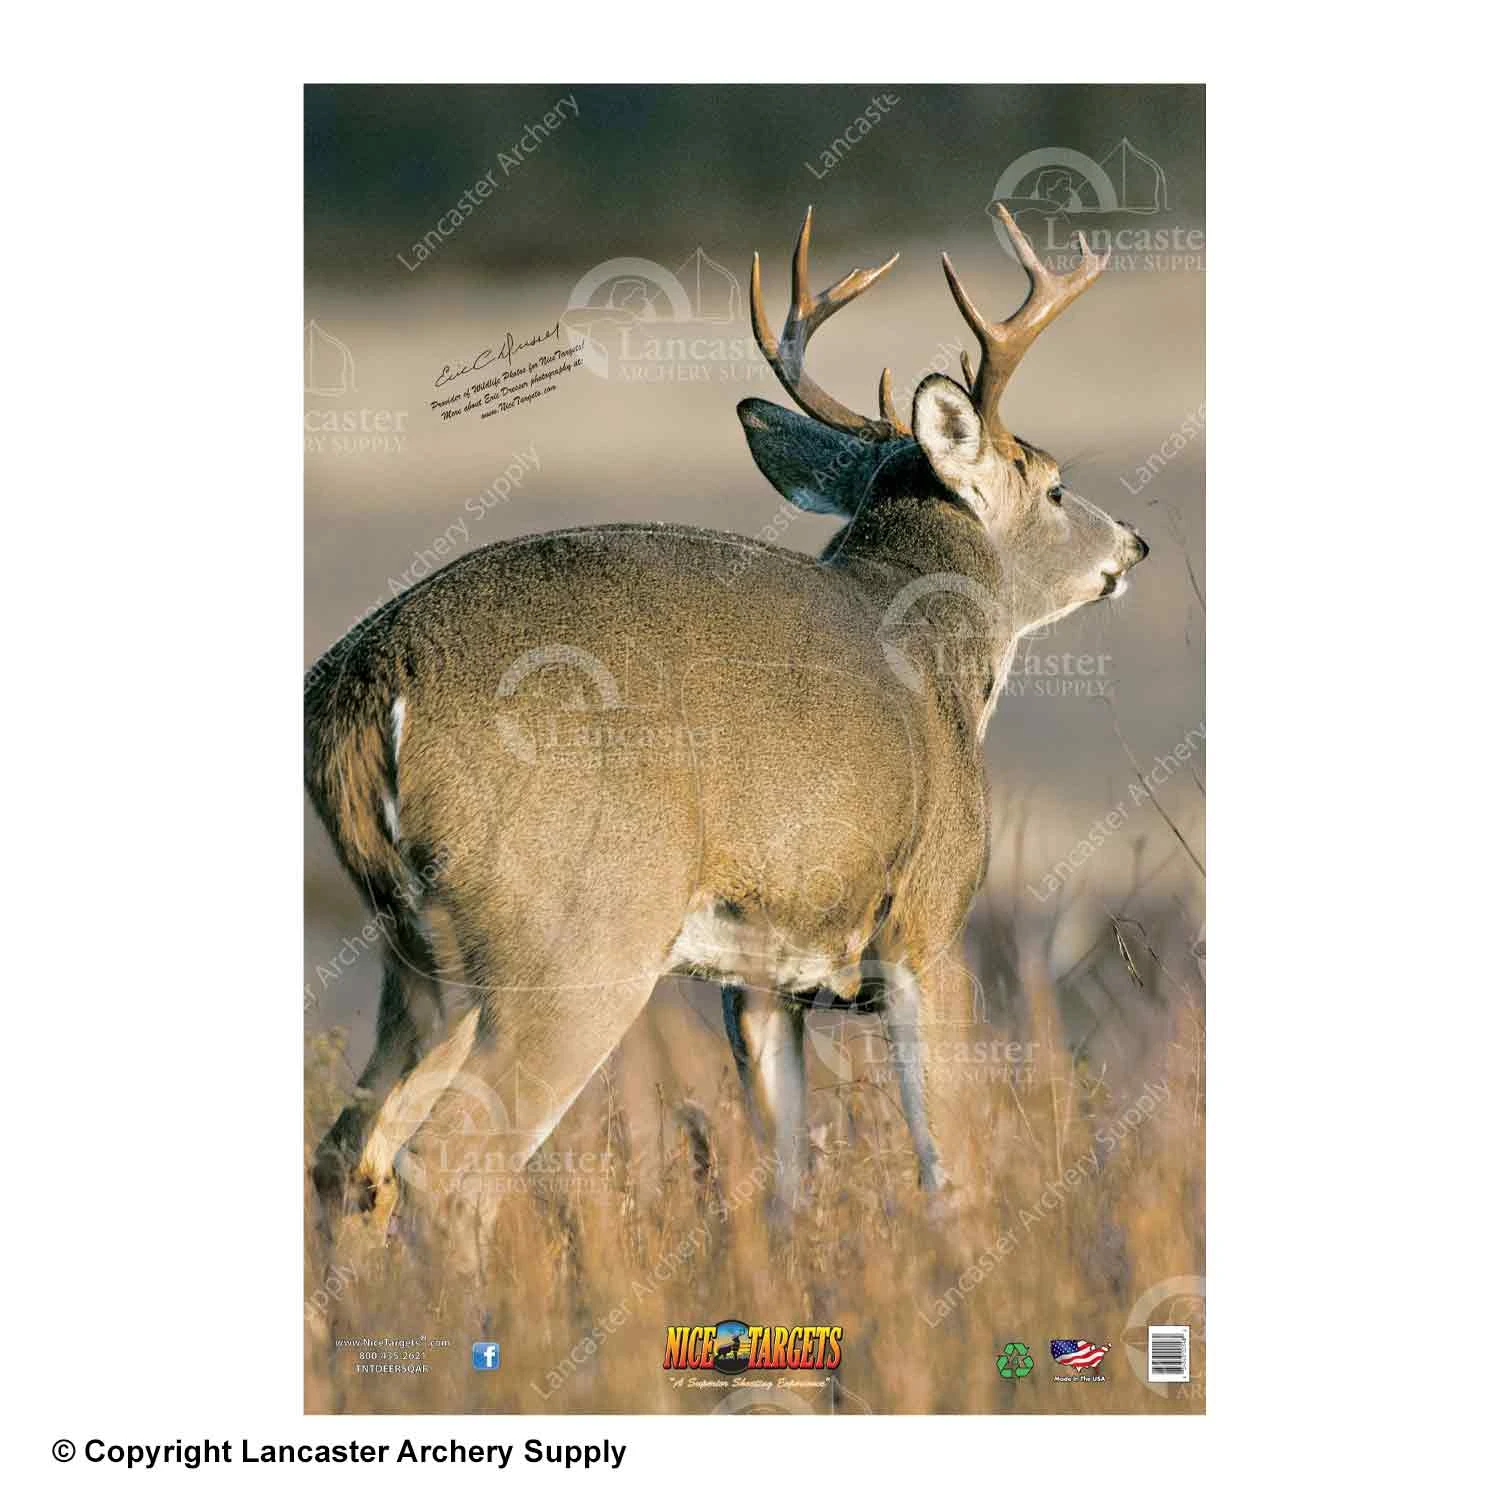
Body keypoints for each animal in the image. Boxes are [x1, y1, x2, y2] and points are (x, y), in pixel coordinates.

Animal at [305, 204, 1148, 1238]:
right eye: (1057, 485)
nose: (1135, 545)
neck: (933, 642)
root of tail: (366, 684)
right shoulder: (929, 918)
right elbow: (946, 1162)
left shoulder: (762, 976)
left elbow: (787, 1175)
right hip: (577, 929)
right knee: (449, 1160)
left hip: (418, 951)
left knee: (349, 1151)